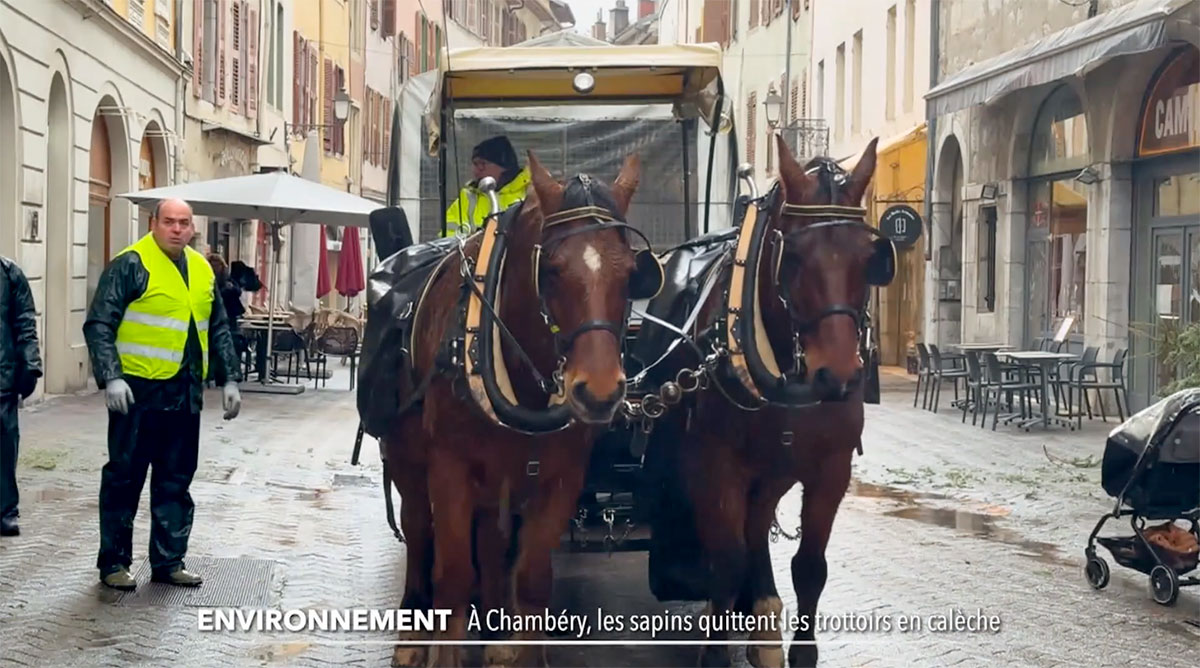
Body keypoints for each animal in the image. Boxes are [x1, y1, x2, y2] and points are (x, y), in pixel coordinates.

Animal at [381, 150, 661, 668]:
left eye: (632, 272)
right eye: (551, 269)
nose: (599, 393)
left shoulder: (559, 478)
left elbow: (531, 580)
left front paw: (514, 646)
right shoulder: (448, 470)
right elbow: (453, 577)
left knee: (492, 545)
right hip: (408, 464)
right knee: (418, 532)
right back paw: (413, 632)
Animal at [642, 135, 888, 667]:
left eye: (871, 258)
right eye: (791, 256)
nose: (838, 375)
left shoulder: (831, 470)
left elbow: (810, 567)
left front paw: (794, 648)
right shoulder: (716, 467)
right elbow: (726, 562)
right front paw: (715, 653)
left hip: (772, 472)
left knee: (757, 527)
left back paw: (765, 619)